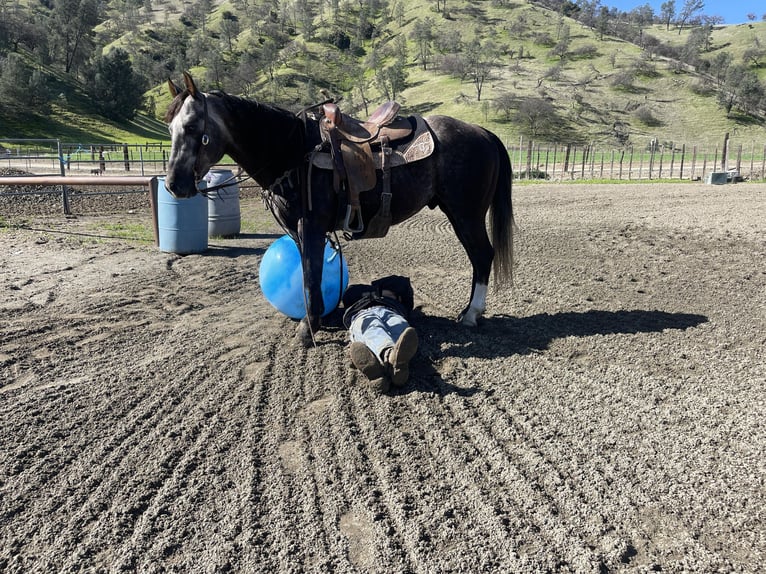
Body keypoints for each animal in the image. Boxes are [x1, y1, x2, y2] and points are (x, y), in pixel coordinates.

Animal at [166, 74, 516, 348]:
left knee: (482, 255)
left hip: (466, 214)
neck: (293, 152)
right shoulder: (301, 232)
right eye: (169, 128)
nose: (174, 184)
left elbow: (310, 278)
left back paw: (471, 314)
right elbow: (312, 275)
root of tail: (482, 132)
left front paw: (307, 331)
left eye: (193, 125)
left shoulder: (311, 226)